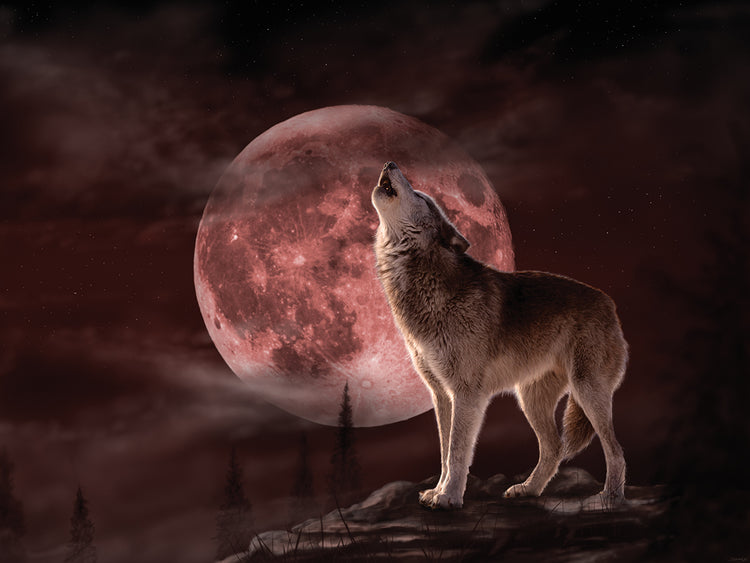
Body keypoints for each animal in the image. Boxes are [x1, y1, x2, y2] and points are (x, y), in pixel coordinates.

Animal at [371, 161, 628, 510]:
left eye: (420, 195)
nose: (390, 164)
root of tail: (609, 303)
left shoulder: (467, 394)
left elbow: (457, 451)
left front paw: (449, 497)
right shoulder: (441, 395)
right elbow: (444, 452)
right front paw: (437, 491)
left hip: (587, 392)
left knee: (615, 451)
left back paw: (610, 497)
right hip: (530, 400)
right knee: (553, 448)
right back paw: (529, 489)